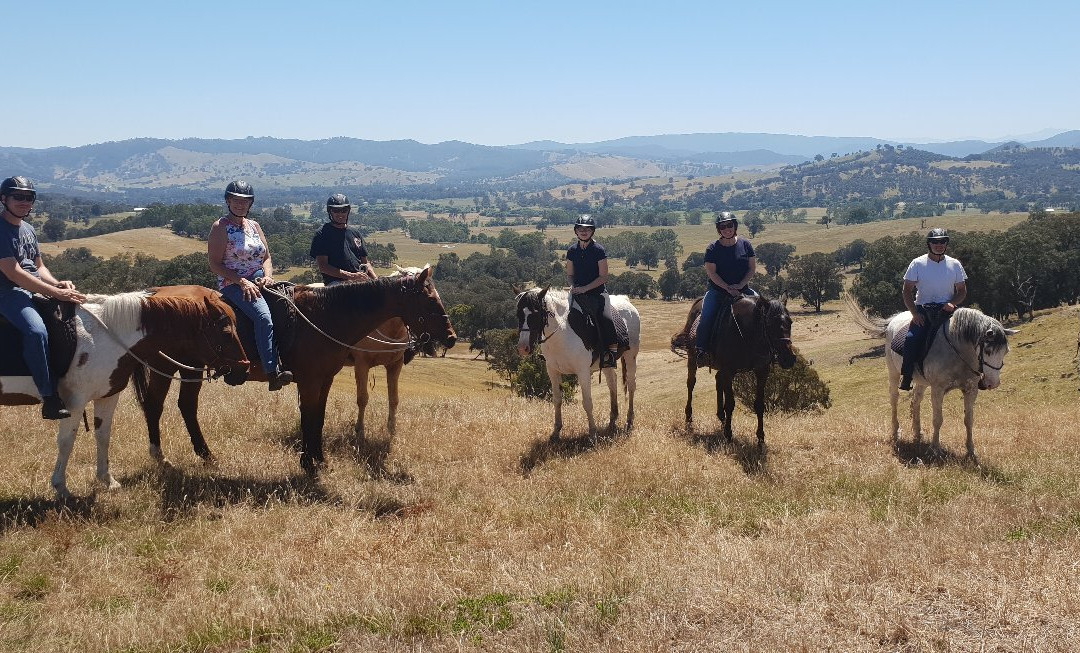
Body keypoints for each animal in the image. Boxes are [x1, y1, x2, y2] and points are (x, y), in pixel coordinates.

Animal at [0, 286, 249, 498]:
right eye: (226, 332)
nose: (243, 369)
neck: (104, 335)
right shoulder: (75, 402)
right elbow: (66, 441)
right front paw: (61, 488)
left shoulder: (108, 395)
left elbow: (103, 435)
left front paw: (107, 480)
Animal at [134, 267, 457, 474]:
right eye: (429, 299)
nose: (451, 336)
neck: (326, 315)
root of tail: (152, 295)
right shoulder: (311, 380)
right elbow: (310, 416)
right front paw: (309, 463)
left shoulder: (325, 379)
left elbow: (319, 418)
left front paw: (319, 459)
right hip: (164, 365)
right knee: (155, 405)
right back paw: (159, 457)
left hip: (192, 367)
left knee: (186, 405)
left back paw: (206, 456)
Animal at [515, 287, 640, 440]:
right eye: (518, 314)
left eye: (536, 313)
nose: (523, 348)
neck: (562, 332)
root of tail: (627, 301)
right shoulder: (552, 371)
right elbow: (557, 400)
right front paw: (556, 432)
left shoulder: (583, 372)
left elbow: (587, 402)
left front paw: (592, 433)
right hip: (606, 362)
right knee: (612, 382)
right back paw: (612, 421)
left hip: (630, 356)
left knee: (631, 385)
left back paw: (629, 421)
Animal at [677, 295, 797, 449]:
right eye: (770, 324)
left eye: (790, 322)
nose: (788, 358)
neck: (748, 334)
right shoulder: (729, 371)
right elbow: (730, 404)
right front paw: (728, 435)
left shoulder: (762, 371)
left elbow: (759, 404)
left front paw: (760, 438)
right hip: (692, 359)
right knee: (691, 384)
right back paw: (689, 418)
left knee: (718, 380)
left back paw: (721, 418)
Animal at [854, 304, 1016, 462]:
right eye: (988, 350)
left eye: (1006, 351)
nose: (992, 383)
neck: (957, 350)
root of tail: (894, 320)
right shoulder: (938, 389)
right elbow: (938, 420)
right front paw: (935, 449)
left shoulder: (971, 390)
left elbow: (969, 420)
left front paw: (971, 451)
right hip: (893, 373)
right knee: (894, 399)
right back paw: (895, 432)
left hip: (921, 381)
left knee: (916, 400)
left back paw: (917, 433)